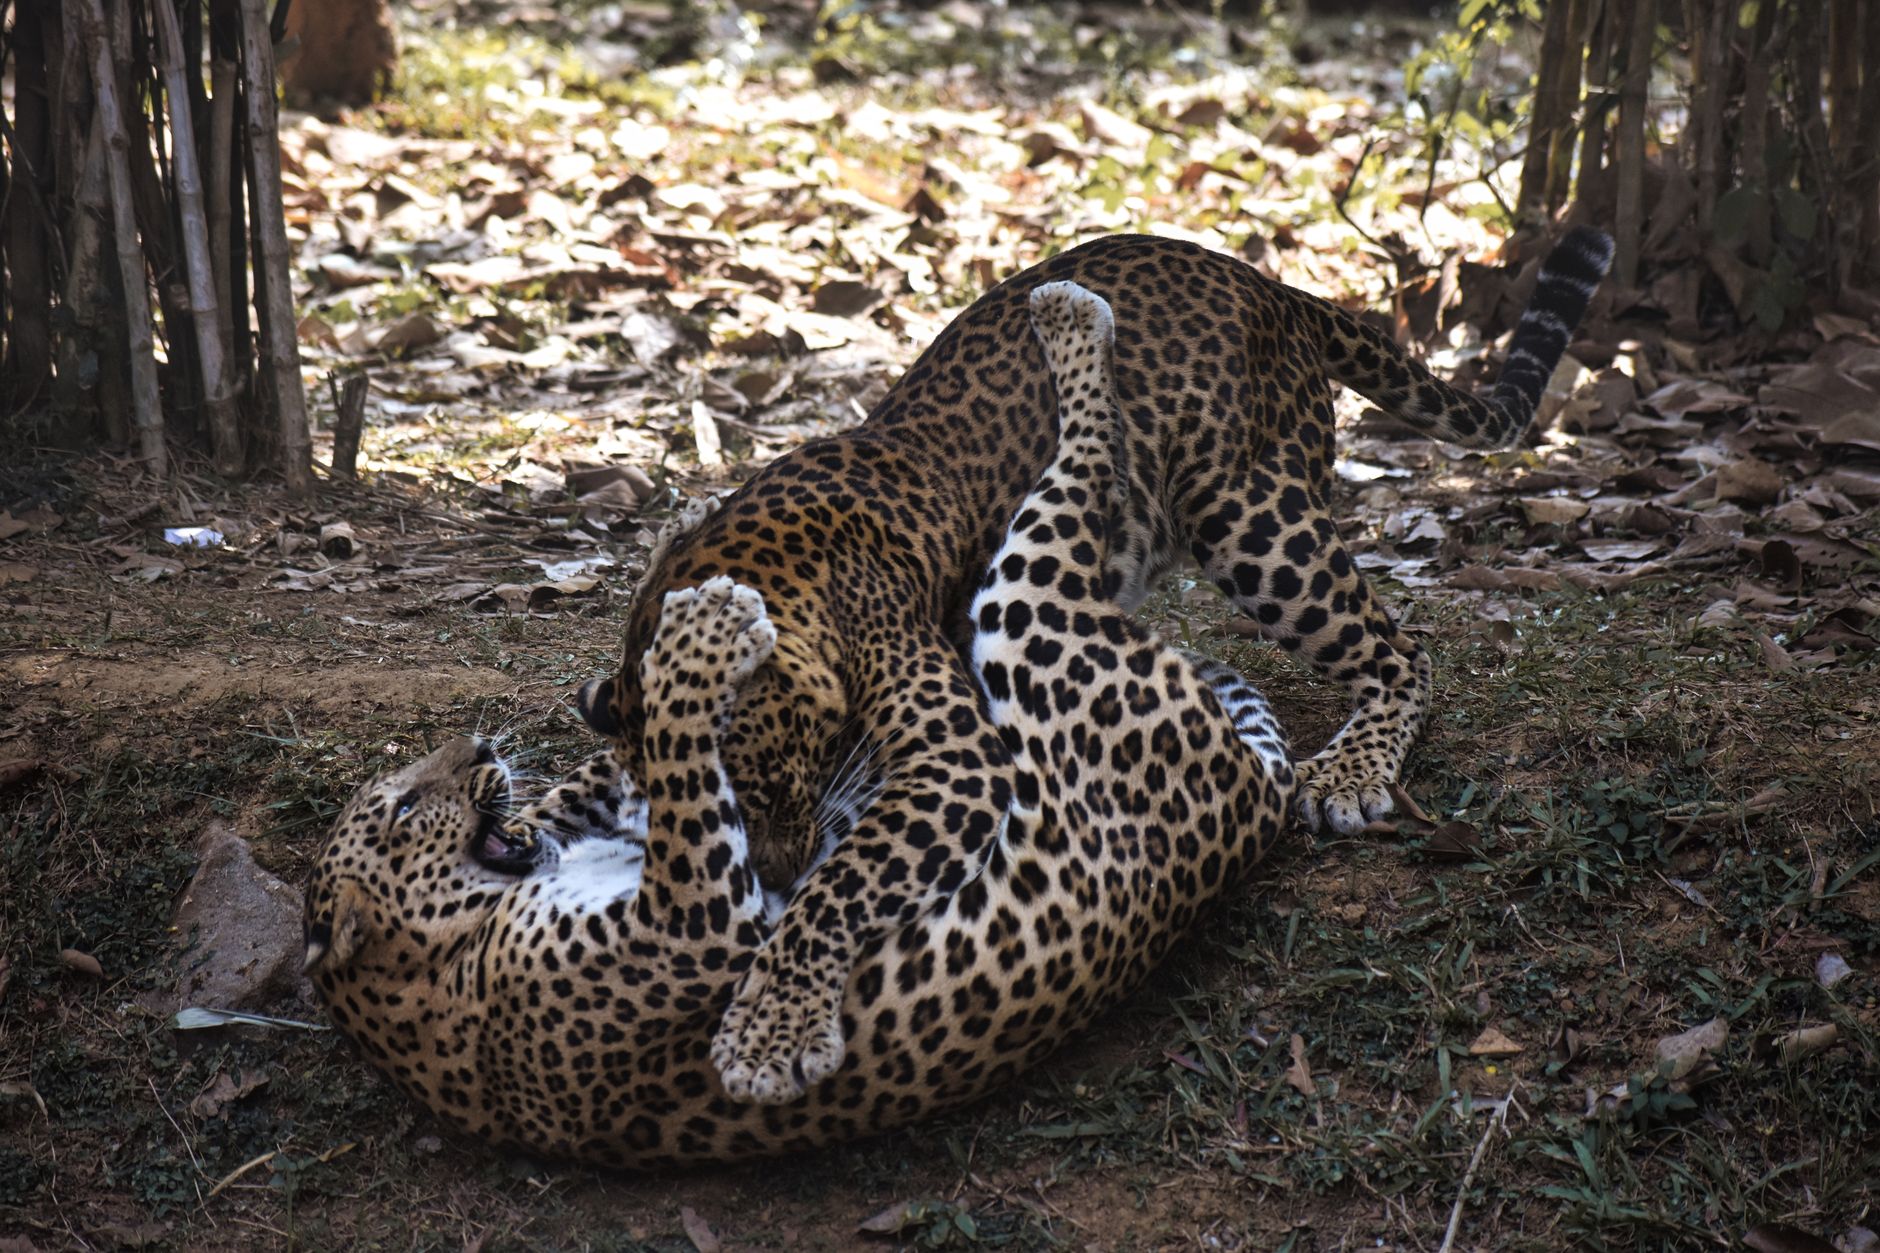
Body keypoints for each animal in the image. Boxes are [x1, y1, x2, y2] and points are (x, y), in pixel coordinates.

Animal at [301, 280, 1293, 1164]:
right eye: (397, 810)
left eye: (780, 783)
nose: (474, 747)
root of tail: (1253, 799)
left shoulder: (948, 758)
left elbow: (840, 883)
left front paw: (770, 1026)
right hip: (1037, 611)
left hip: (1030, 602)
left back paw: (1068, 321)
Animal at [575, 228, 1614, 1104]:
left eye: (758, 780)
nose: (773, 878)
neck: (768, 565)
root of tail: (1262, 281)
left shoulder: (954, 759)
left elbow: (846, 885)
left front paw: (769, 1025)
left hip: (1253, 520)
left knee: (1401, 650)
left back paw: (1350, 773)